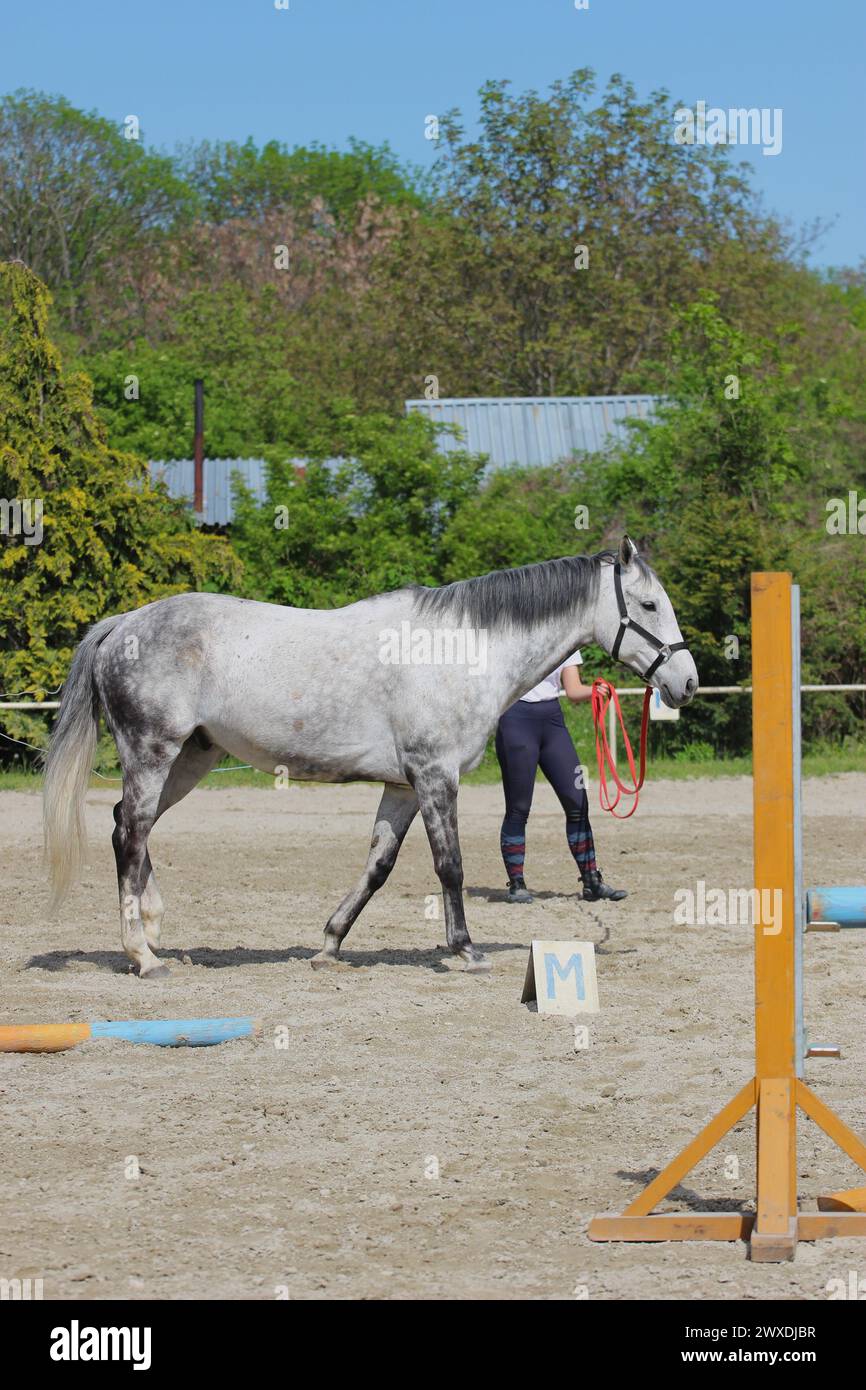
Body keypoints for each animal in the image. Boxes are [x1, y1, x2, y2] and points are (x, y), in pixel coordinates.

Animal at [44, 533, 700, 978]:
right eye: (647, 606)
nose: (687, 682)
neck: (462, 648)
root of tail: (124, 623)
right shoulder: (434, 776)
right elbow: (450, 865)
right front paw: (465, 949)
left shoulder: (404, 786)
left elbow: (378, 866)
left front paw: (329, 944)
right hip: (153, 752)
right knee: (129, 833)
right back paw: (142, 954)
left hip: (190, 759)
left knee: (131, 829)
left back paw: (153, 930)